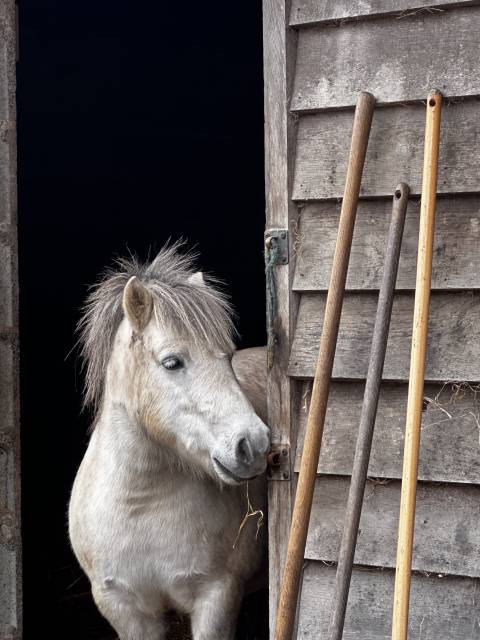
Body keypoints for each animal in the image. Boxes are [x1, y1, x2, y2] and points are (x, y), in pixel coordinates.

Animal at [68, 245, 270, 640]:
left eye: (227, 357)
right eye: (172, 362)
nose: (252, 445)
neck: (140, 505)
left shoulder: (216, 597)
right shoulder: (125, 610)